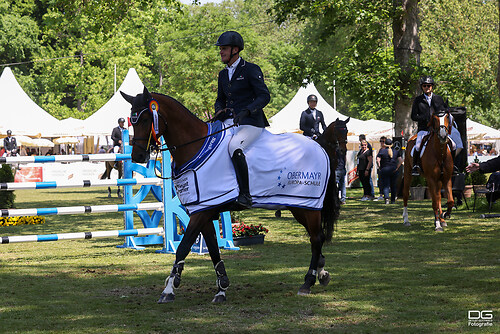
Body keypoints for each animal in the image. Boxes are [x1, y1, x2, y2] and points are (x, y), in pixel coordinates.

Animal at [120, 86, 346, 302]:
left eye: (146, 119)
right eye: (132, 120)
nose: (138, 156)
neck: (196, 145)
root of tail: (320, 148)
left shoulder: (201, 212)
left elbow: (183, 247)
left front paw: (169, 289)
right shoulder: (204, 210)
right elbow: (212, 249)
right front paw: (222, 288)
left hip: (307, 207)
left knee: (316, 238)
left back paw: (308, 282)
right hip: (299, 207)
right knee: (317, 238)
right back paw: (321, 273)